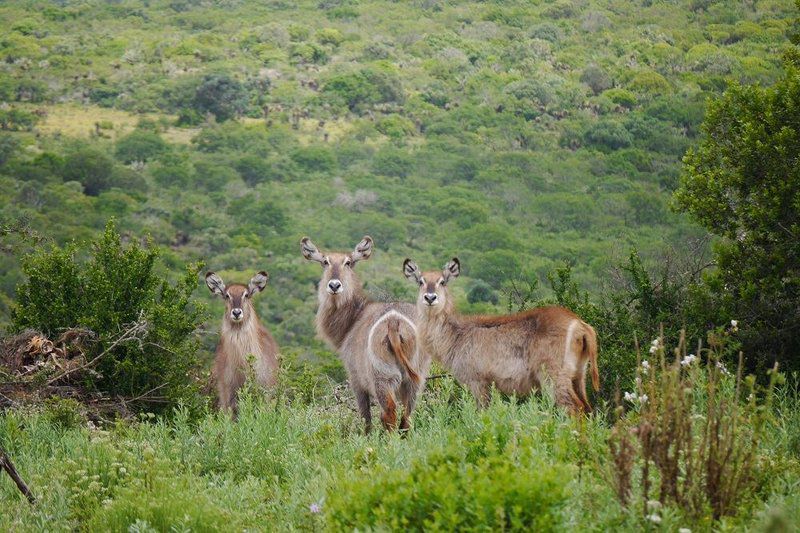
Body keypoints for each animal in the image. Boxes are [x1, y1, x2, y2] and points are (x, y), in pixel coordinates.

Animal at [300, 237, 424, 432]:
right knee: (406, 417)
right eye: (325, 262)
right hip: (414, 379)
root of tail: (394, 322)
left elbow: (365, 416)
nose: (334, 285)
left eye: (348, 262)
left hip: (382, 377)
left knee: (389, 413)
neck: (354, 318)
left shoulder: (356, 380)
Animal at [404, 258, 596, 412]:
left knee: (574, 407)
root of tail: (580, 325)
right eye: (420, 281)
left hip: (553, 376)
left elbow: (483, 413)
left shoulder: (478, 382)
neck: (457, 334)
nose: (430, 297)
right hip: (579, 376)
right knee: (587, 407)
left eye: (442, 281)